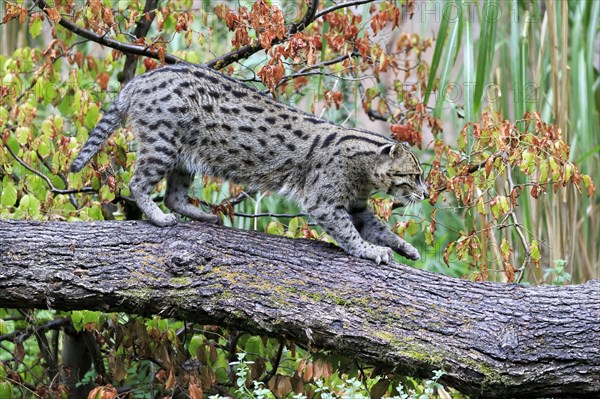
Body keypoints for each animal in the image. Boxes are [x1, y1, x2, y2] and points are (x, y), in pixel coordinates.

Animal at [69, 63, 426, 266]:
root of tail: (139, 80)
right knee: (138, 183)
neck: (365, 170)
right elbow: (350, 234)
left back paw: (203, 216)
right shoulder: (324, 202)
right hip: (162, 144)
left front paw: (404, 247)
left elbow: (379, 228)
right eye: (415, 176)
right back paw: (158, 217)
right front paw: (369, 251)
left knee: (173, 195)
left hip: (184, 156)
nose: (425, 194)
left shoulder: (356, 205)